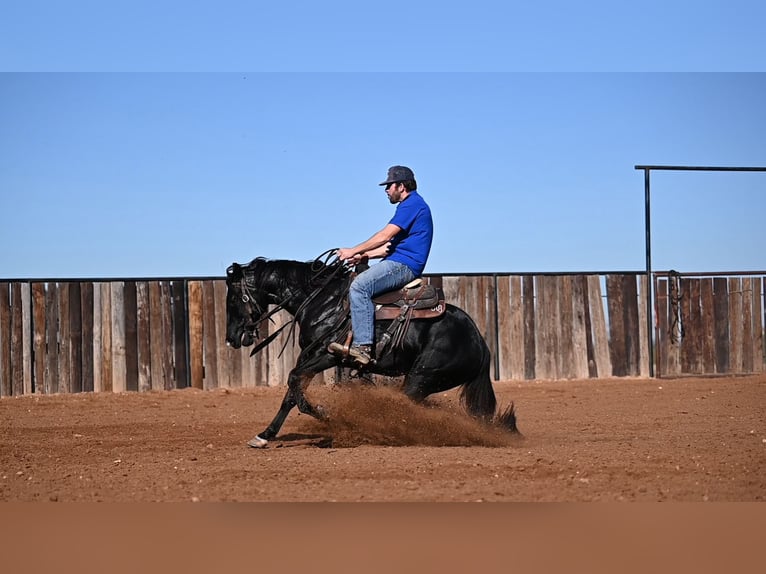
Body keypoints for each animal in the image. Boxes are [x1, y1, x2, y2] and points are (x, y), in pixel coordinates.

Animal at [225, 256, 520, 450]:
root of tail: (480, 344)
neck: (322, 300)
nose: (231, 338)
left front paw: (327, 415)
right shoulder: (308, 355)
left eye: (232, 299)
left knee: (405, 406)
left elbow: (295, 381)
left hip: (423, 376)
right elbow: (291, 393)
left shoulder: (328, 354)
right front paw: (265, 434)